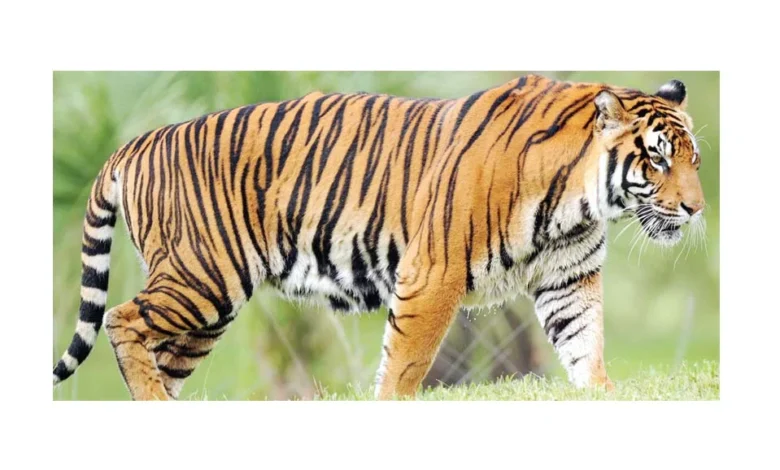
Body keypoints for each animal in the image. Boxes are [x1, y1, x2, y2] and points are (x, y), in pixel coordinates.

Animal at [53, 73, 705, 400]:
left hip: (206, 311)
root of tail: (137, 141)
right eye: (658, 159)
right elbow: (406, 364)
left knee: (157, 353)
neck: (578, 200)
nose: (696, 209)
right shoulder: (433, 273)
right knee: (122, 320)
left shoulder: (570, 278)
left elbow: (584, 343)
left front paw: (601, 393)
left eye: (694, 160)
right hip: (203, 276)